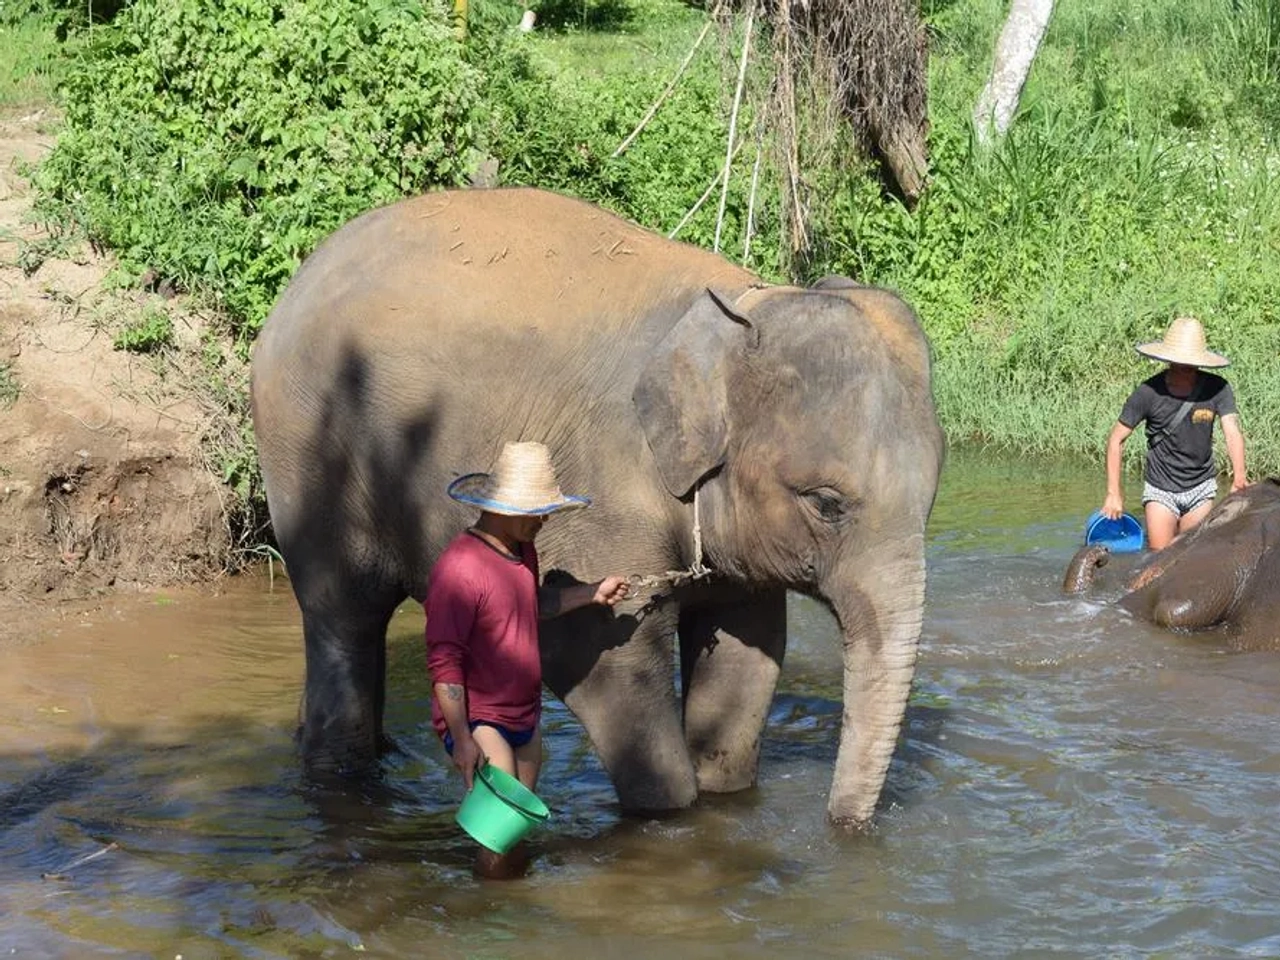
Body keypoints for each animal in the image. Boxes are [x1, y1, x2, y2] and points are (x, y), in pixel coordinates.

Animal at [249, 187, 944, 826]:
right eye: (826, 504)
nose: (844, 828)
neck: (740, 306)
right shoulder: (602, 486)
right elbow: (603, 655)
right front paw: (669, 812)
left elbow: (748, 652)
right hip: (307, 446)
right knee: (344, 615)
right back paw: (339, 769)